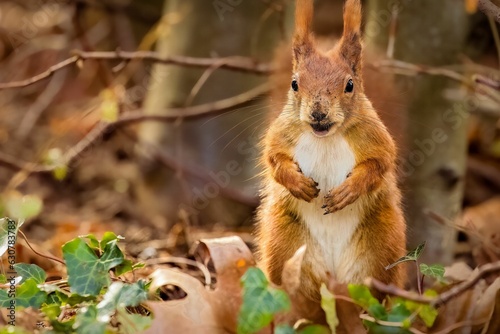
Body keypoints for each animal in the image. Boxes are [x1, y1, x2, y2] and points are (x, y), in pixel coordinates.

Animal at [256, 0, 408, 302]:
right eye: (294, 83)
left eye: (350, 85)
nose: (318, 113)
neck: (325, 137)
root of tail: (334, 276)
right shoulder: (280, 135)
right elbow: (274, 160)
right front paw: (298, 184)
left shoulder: (376, 138)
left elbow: (380, 163)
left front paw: (347, 192)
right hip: (283, 244)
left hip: (382, 247)